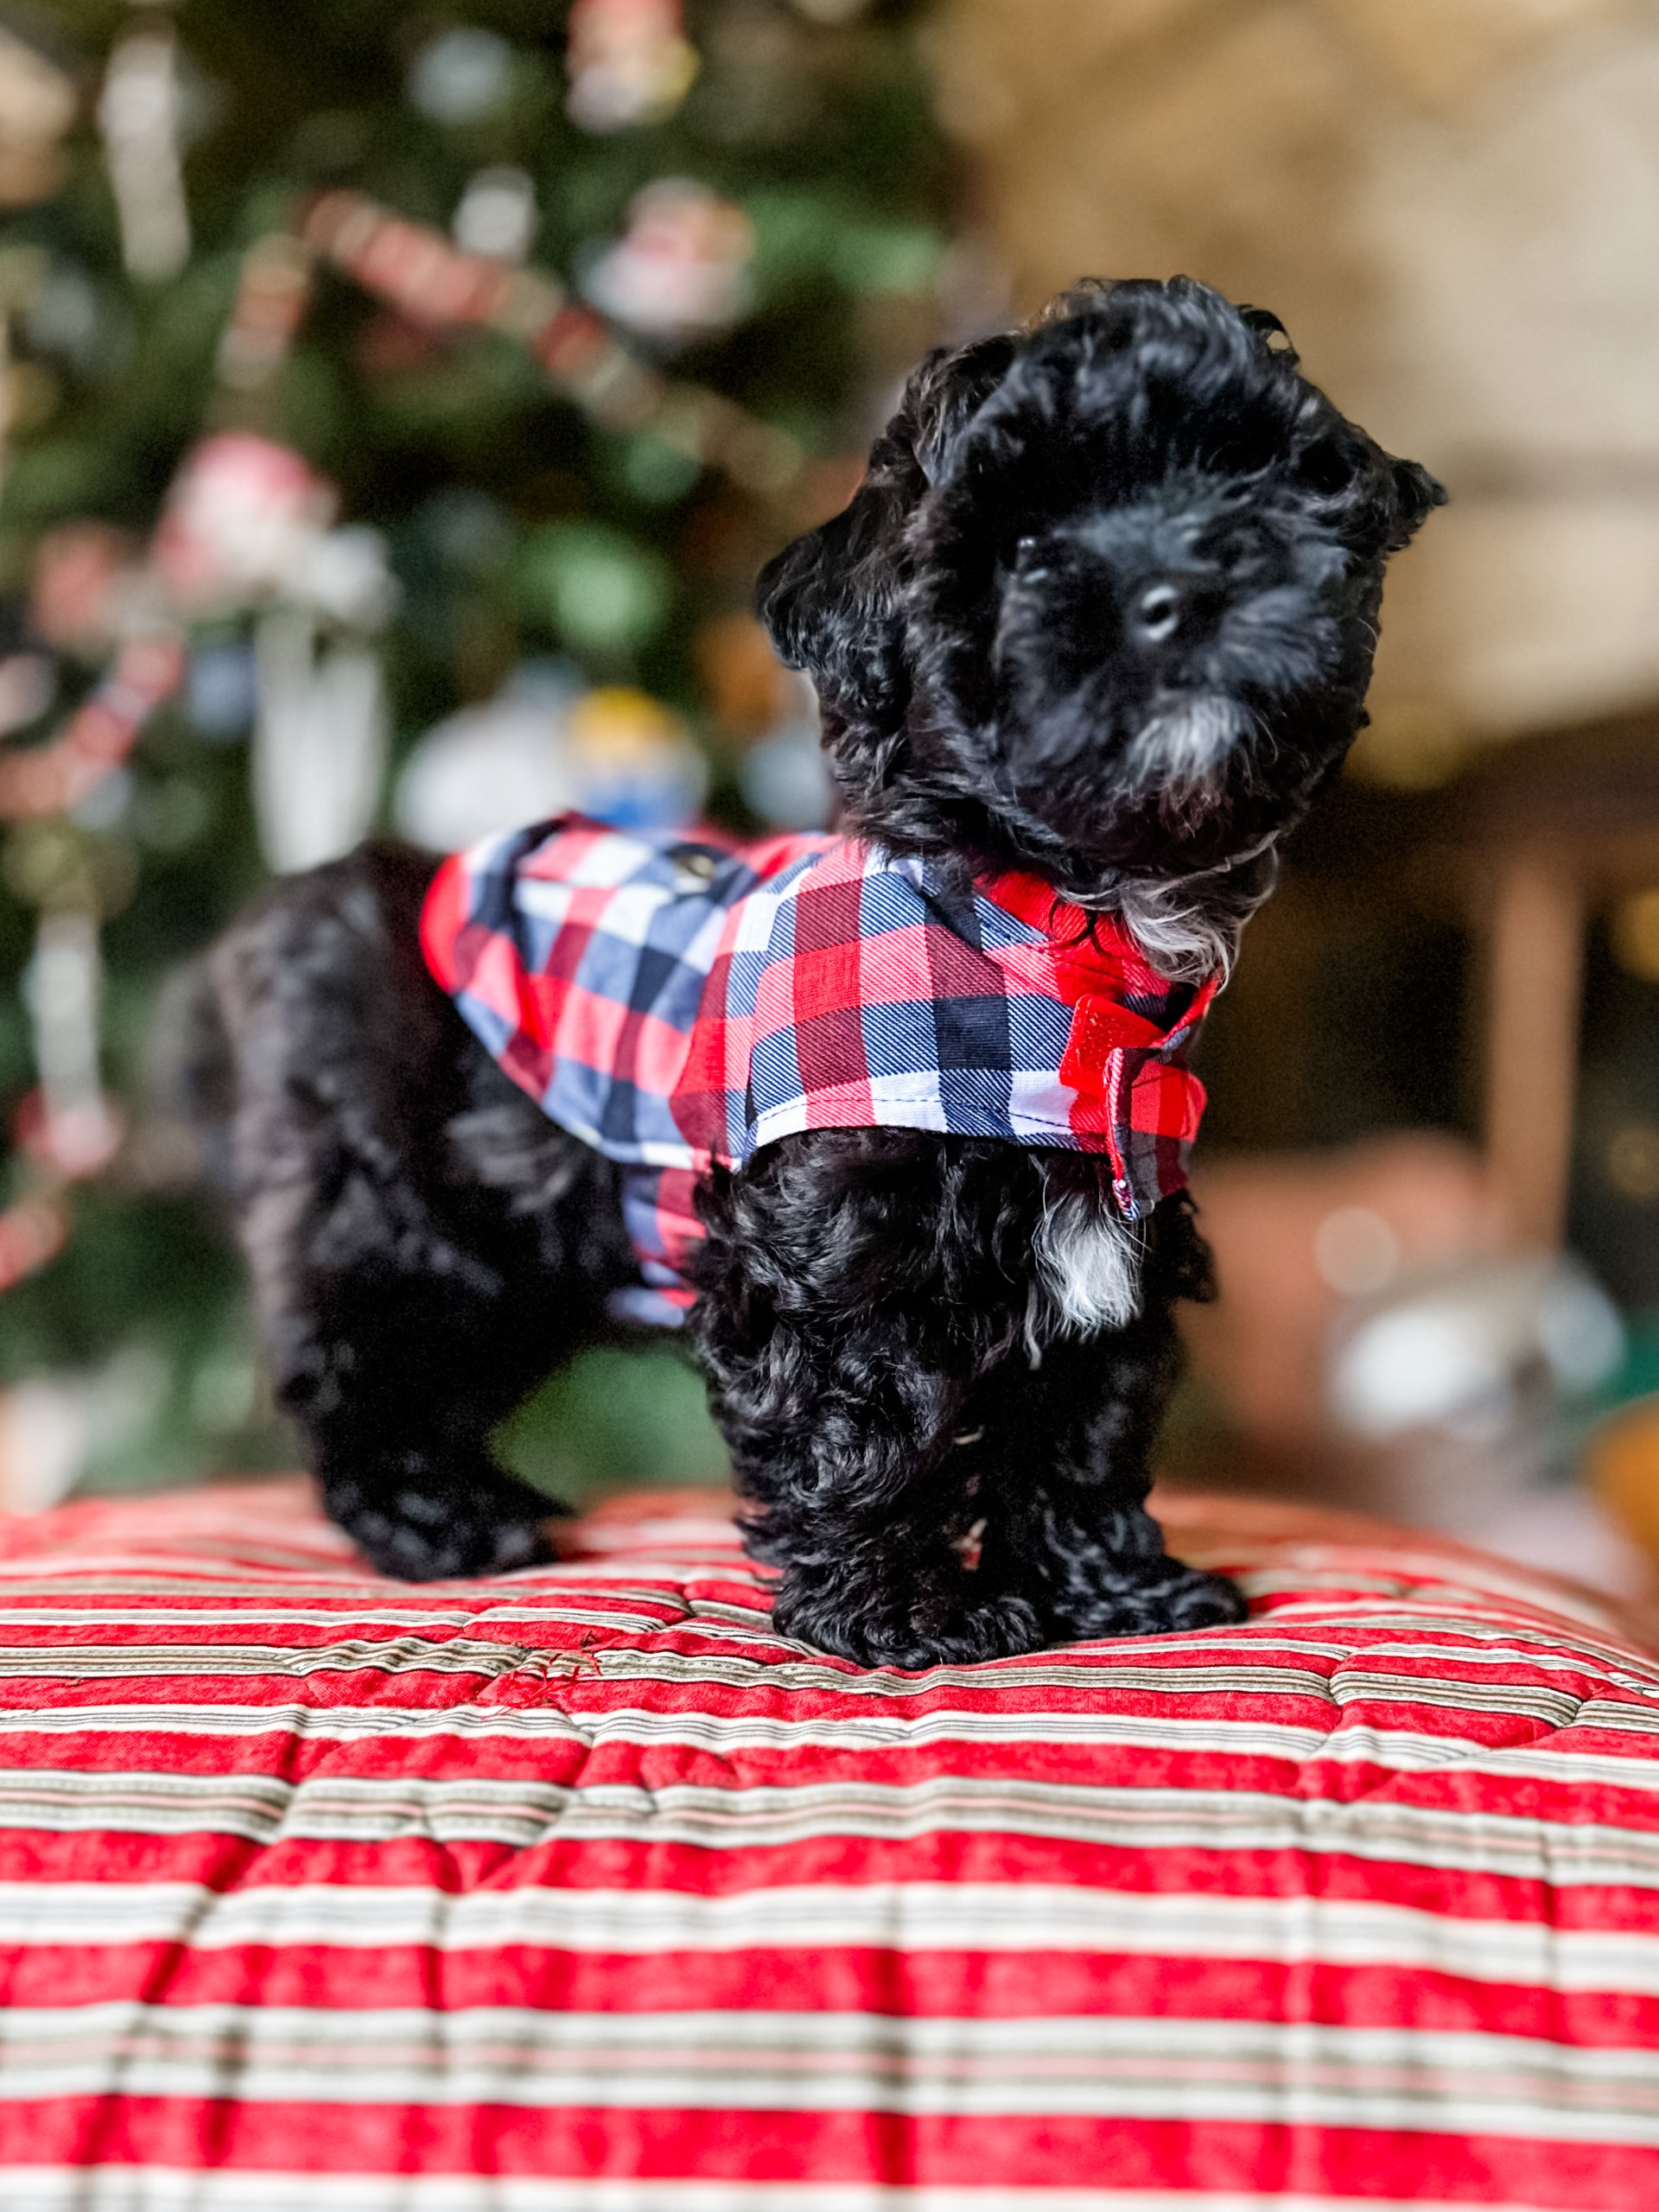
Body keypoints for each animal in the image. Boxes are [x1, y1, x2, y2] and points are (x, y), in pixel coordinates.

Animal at [188, 276, 1442, 1663]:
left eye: (1245, 481)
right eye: (1022, 545)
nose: (1182, 586)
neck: (1038, 931)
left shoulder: (1116, 1244)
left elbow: (1083, 1431)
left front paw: (1113, 1592)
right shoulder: (831, 1250)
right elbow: (863, 1423)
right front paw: (903, 1614)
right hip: (398, 1223)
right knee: (360, 1379)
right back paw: (440, 1521)